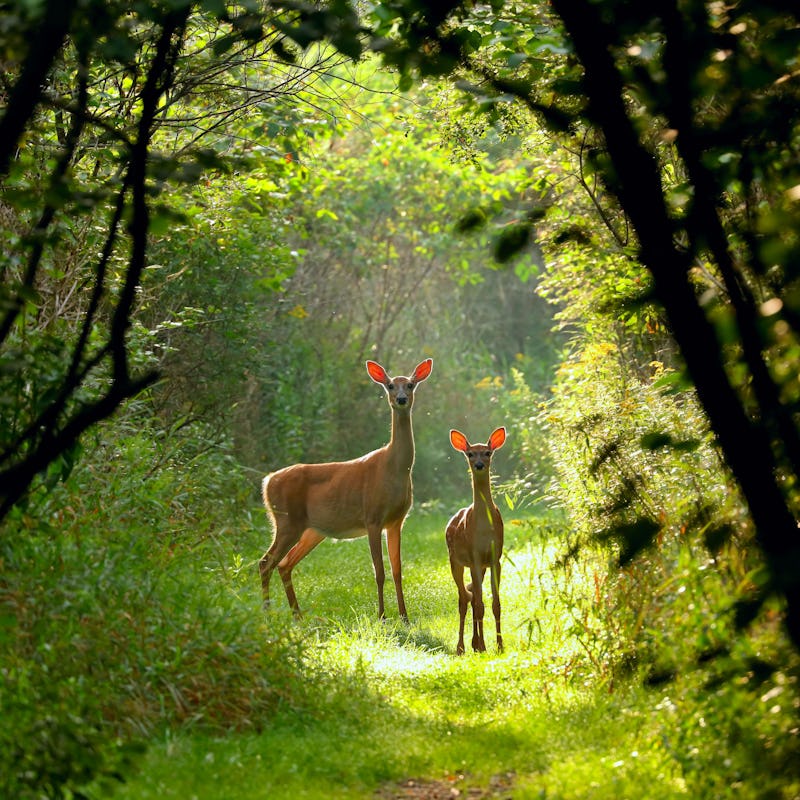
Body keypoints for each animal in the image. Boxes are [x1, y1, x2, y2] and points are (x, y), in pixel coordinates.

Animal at [259, 358, 433, 622]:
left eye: (411, 385)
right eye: (391, 385)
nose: (401, 399)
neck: (394, 469)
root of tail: (267, 481)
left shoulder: (396, 521)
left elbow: (397, 570)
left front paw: (405, 618)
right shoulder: (372, 516)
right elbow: (379, 572)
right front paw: (382, 617)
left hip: (312, 530)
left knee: (284, 564)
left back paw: (297, 616)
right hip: (287, 520)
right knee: (265, 562)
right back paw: (268, 615)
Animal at [445, 426, 507, 655]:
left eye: (488, 452)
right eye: (470, 454)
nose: (479, 465)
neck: (484, 528)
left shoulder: (495, 558)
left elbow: (495, 605)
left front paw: (499, 645)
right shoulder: (474, 556)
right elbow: (480, 604)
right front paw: (484, 645)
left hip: (479, 566)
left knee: (471, 597)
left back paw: (475, 643)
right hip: (455, 560)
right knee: (464, 599)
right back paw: (462, 647)